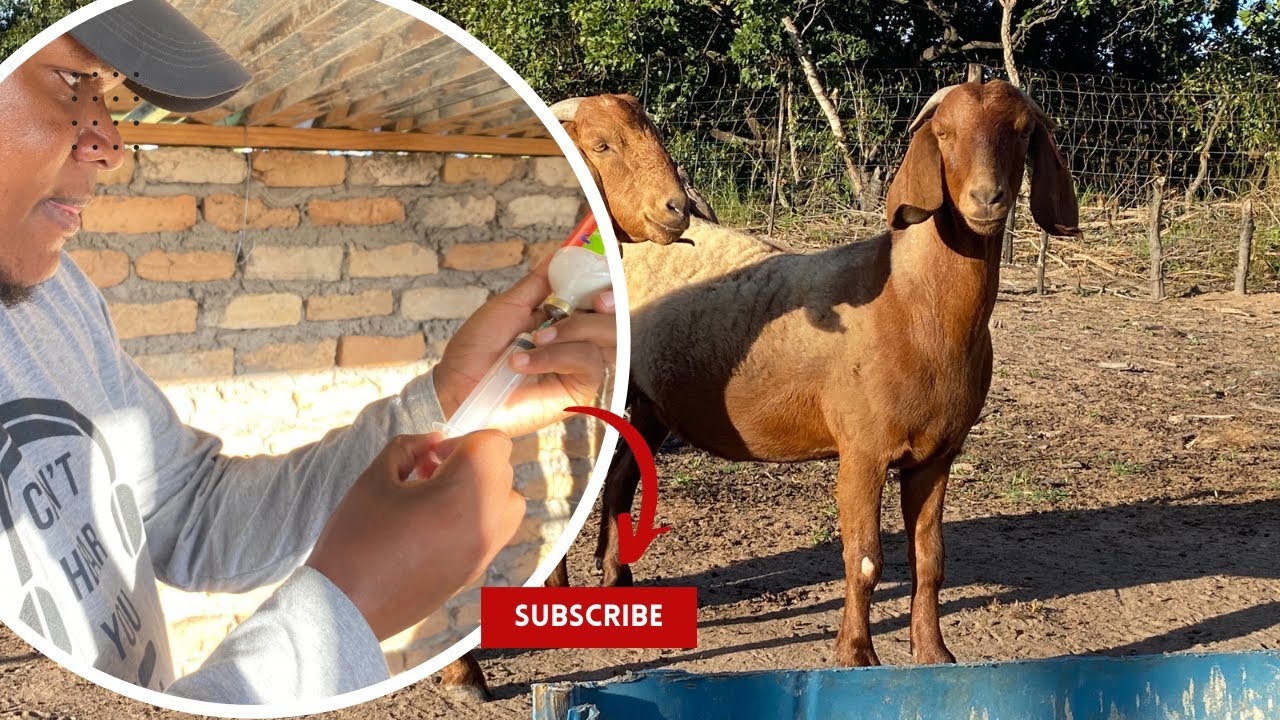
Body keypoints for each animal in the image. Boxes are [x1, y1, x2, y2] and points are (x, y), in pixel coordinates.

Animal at [597, 79, 1080, 667]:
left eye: (1023, 132)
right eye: (944, 133)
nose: (987, 199)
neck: (912, 303)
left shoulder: (938, 454)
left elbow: (931, 559)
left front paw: (934, 652)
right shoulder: (862, 448)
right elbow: (865, 559)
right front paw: (856, 654)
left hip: (651, 404)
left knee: (620, 477)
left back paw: (617, 580)